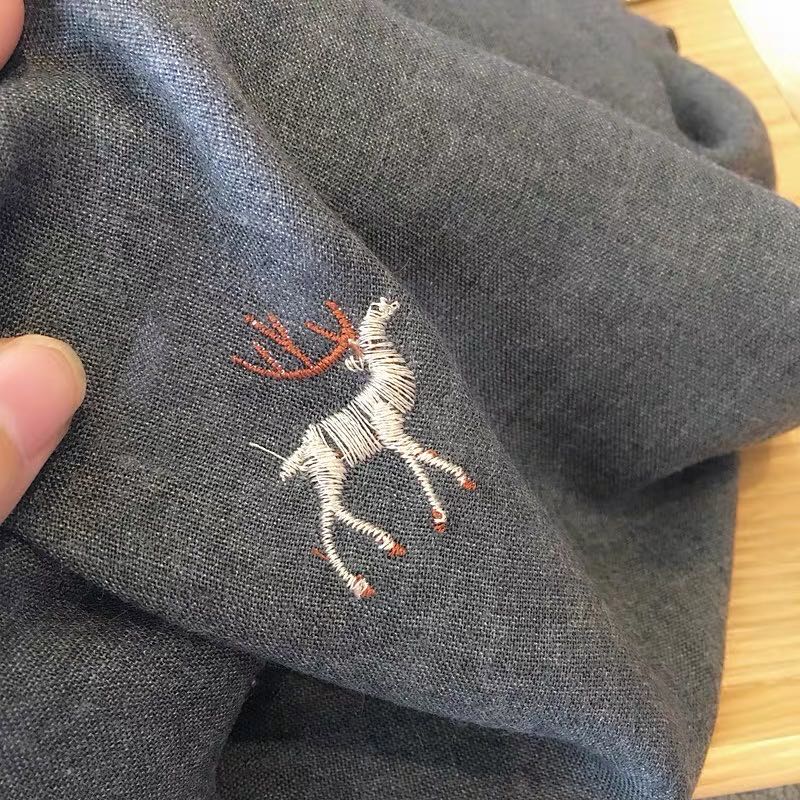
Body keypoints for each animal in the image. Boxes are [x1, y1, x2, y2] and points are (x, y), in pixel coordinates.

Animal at [232, 297, 476, 599]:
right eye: (379, 309)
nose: (394, 302)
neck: (387, 376)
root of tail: (303, 452)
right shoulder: (391, 431)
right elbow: (417, 459)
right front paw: (447, 500)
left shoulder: (395, 434)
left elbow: (418, 459)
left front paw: (447, 499)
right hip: (329, 474)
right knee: (328, 517)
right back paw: (367, 569)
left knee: (335, 511)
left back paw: (386, 545)